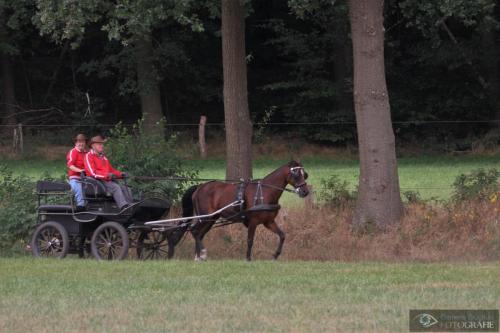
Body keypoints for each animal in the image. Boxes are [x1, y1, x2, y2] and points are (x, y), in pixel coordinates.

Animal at [180, 160, 308, 260]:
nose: (305, 192)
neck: (264, 192)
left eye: (305, 174)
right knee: (195, 231)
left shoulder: (268, 222)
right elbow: (250, 240)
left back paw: (198, 256)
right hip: (206, 216)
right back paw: (201, 254)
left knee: (199, 234)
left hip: (211, 219)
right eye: (296, 174)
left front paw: (275, 255)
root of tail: (199, 187)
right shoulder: (253, 222)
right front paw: (248, 259)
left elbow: (282, 235)